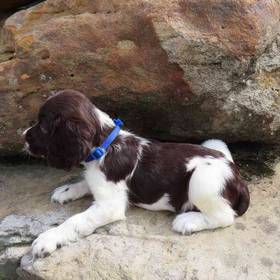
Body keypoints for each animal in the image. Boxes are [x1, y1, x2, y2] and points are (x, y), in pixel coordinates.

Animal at [23, 89, 249, 258]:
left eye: (43, 125)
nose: (23, 136)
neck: (105, 146)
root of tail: (237, 177)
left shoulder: (109, 206)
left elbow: (75, 221)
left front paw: (48, 238)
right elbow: (85, 181)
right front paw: (67, 190)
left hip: (203, 178)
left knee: (225, 217)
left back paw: (188, 221)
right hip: (214, 143)